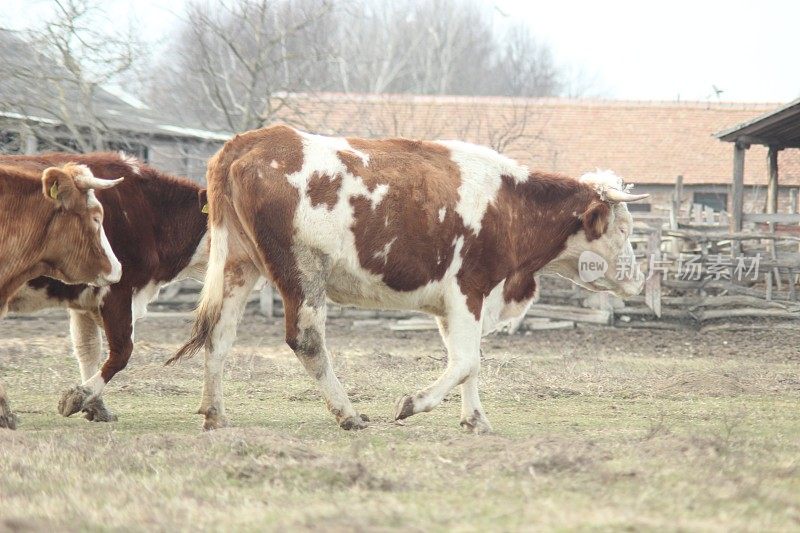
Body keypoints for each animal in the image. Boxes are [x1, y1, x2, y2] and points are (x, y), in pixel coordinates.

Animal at [172, 124, 648, 432]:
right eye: (624, 229)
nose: (638, 281)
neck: (510, 205)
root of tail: (246, 142)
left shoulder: (457, 304)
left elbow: (469, 361)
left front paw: (474, 419)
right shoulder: (469, 289)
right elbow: (466, 361)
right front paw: (413, 403)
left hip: (238, 265)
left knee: (219, 336)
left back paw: (215, 414)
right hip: (302, 271)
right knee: (306, 341)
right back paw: (348, 414)